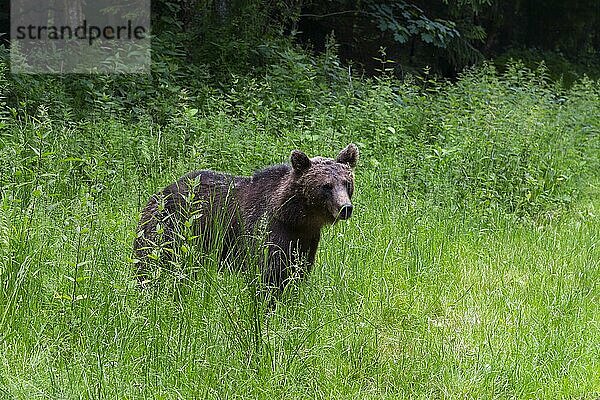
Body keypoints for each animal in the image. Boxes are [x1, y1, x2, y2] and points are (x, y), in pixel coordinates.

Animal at [134, 144, 358, 290]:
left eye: (347, 183)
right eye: (326, 186)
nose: (345, 208)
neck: (296, 217)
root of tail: (157, 194)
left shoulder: (305, 239)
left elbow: (297, 272)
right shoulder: (266, 230)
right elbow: (268, 273)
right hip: (169, 228)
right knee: (152, 264)